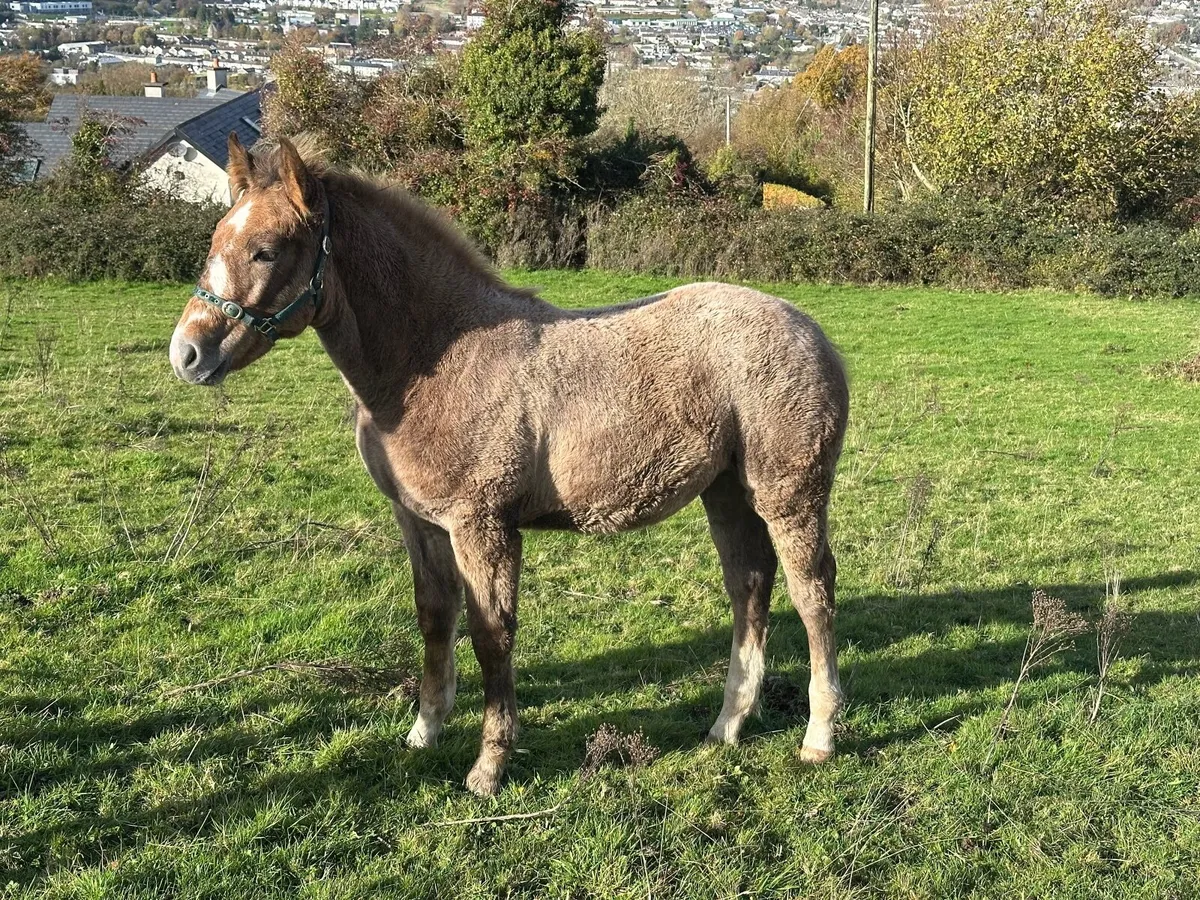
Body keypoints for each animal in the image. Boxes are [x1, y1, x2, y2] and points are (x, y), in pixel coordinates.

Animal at [168, 135, 850, 797]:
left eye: (266, 251)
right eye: (216, 239)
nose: (187, 354)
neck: (433, 361)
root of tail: (814, 331)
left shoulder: (482, 525)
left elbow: (490, 634)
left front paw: (488, 768)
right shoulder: (419, 521)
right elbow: (434, 615)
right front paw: (425, 730)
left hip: (789, 495)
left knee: (812, 595)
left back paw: (818, 736)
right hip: (728, 492)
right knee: (750, 585)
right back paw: (728, 723)